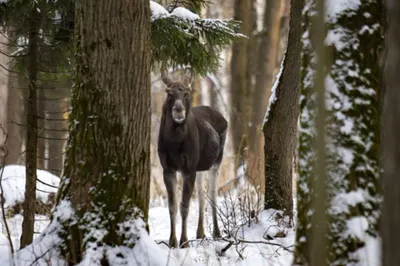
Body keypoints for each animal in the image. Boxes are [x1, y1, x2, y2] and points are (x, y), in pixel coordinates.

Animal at [159, 70, 228, 247]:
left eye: (186, 93)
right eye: (168, 93)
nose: (178, 110)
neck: (175, 143)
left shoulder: (188, 168)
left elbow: (184, 205)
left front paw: (184, 241)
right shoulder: (168, 168)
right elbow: (172, 206)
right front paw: (172, 241)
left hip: (216, 161)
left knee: (212, 193)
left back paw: (216, 232)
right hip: (200, 166)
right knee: (201, 194)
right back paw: (200, 233)